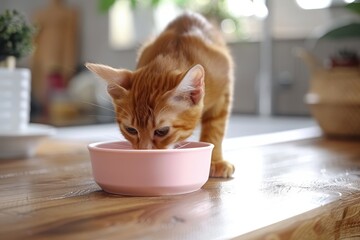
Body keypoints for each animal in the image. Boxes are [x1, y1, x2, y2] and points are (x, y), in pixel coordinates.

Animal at [86, 12, 235, 178]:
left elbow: (215, 129)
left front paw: (215, 161)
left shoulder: (224, 90)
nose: (144, 151)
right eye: (131, 130)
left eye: (162, 131)